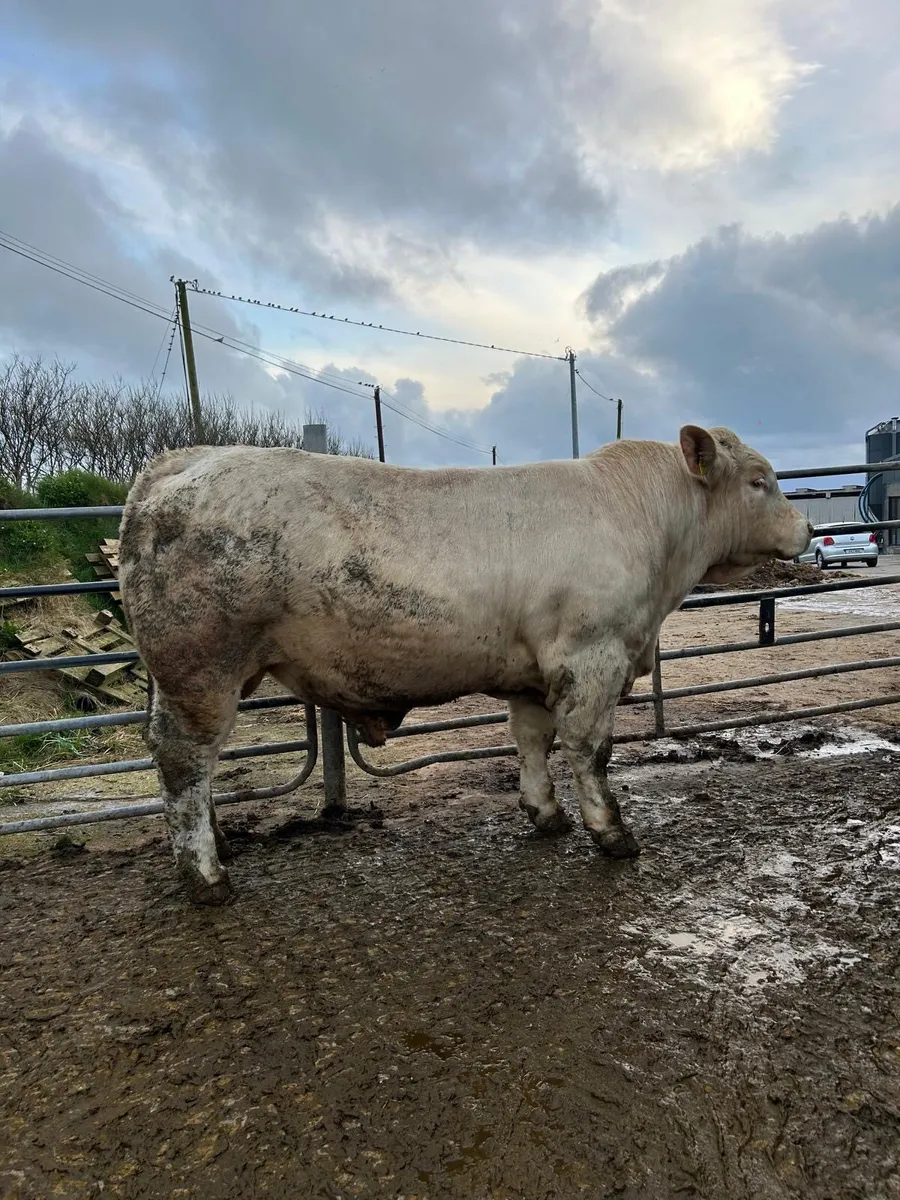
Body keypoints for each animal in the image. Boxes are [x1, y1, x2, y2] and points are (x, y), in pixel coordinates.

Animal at [118, 425, 812, 905]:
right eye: (759, 480)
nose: (807, 527)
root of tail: (182, 460)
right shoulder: (593, 655)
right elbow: (590, 750)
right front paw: (611, 833)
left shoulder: (536, 671)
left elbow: (531, 741)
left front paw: (545, 814)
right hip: (202, 667)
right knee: (185, 759)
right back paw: (206, 874)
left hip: (193, 676)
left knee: (193, 764)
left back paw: (218, 844)